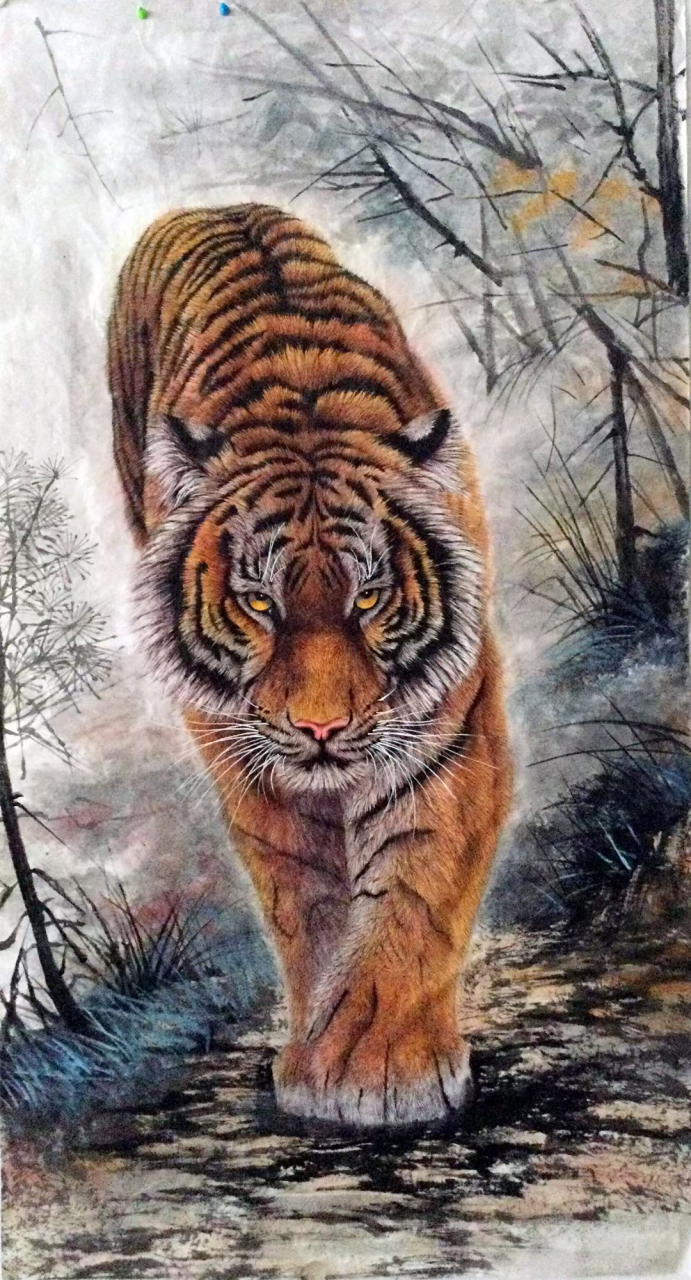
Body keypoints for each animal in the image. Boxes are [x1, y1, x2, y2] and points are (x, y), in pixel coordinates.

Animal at [108, 202, 512, 1126]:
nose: (321, 727)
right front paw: (324, 1054)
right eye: (261, 605)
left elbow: (411, 894)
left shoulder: (447, 736)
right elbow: (308, 901)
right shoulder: (253, 760)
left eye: (369, 600)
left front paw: (380, 1067)